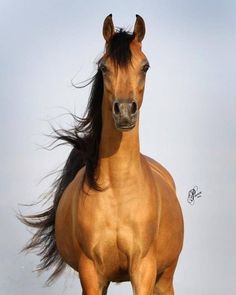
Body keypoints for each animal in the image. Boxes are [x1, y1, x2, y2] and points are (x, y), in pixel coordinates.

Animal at [20, 14, 183, 295]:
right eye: (104, 67)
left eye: (145, 67)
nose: (125, 111)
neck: (119, 190)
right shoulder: (91, 273)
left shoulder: (143, 269)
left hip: (164, 278)